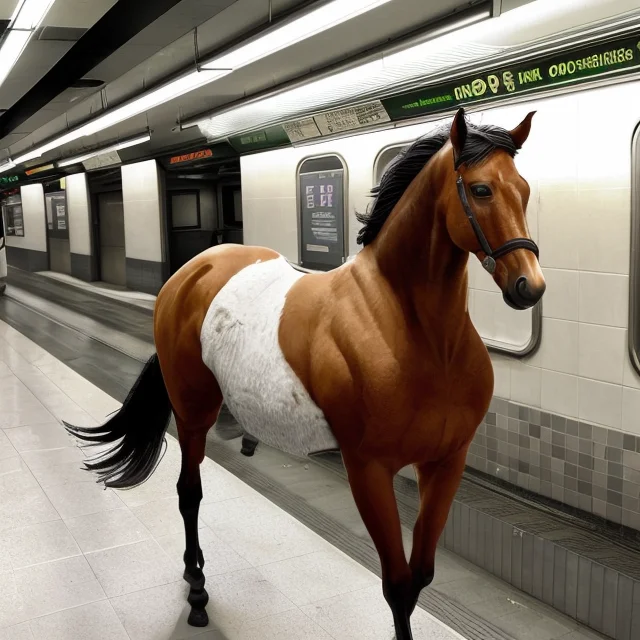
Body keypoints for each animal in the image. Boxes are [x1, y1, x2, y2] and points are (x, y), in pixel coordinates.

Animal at [65, 107, 545, 640]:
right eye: (481, 190)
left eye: (523, 188)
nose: (529, 285)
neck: (418, 334)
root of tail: (191, 270)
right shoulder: (368, 468)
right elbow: (397, 584)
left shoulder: (446, 462)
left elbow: (420, 576)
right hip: (192, 411)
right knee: (189, 492)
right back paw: (197, 590)